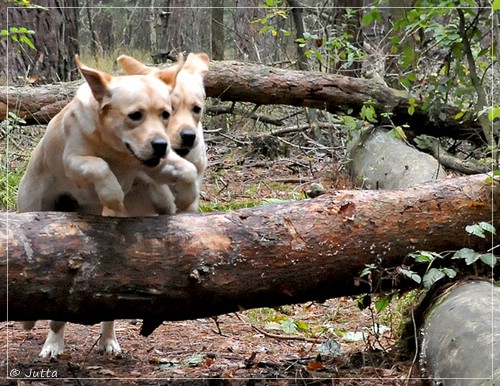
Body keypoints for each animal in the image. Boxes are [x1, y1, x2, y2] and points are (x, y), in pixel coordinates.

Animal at [17, 55, 197, 358]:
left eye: (166, 113)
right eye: (135, 115)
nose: (161, 144)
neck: (117, 149)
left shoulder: (153, 164)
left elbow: (187, 170)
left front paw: (186, 197)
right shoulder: (74, 160)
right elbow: (100, 166)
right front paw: (112, 193)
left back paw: (108, 341)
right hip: (32, 207)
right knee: (52, 312)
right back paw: (49, 342)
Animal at [117, 52, 209, 214]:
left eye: (197, 109)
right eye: (168, 110)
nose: (189, 136)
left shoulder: (200, 165)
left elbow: (192, 186)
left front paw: (185, 198)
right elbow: (155, 184)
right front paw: (167, 202)